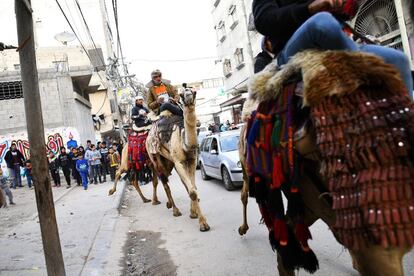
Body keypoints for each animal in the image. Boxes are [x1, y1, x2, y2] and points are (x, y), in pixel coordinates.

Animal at [146, 89, 210, 232]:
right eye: (181, 94)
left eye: (194, 91)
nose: (188, 95)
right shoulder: (178, 161)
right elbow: (192, 191)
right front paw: (203, 224)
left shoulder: (191, 160)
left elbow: (193, 188)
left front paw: (193, 213)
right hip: (156, 159)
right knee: (164, 183)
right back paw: (175, 210)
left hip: (169, 162)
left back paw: (169, 204)